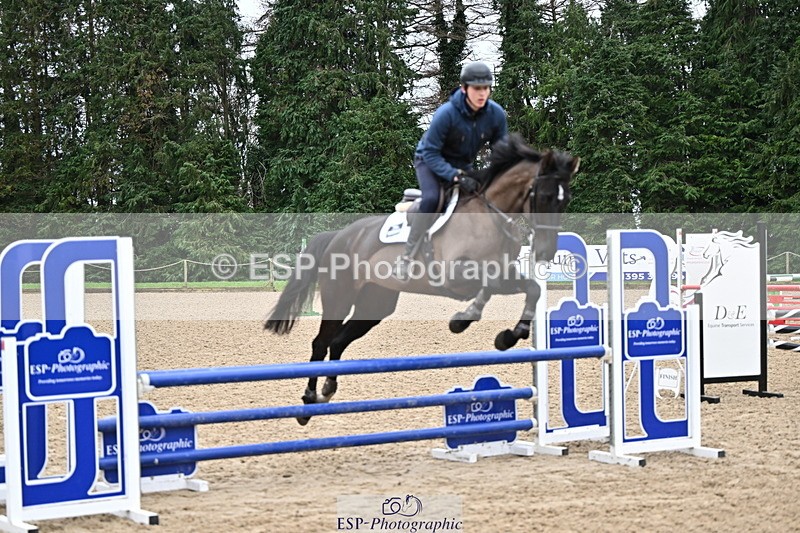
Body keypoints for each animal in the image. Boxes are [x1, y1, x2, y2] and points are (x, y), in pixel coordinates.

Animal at [265, 133, 580, 424]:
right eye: (545, 197)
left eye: (566, 200)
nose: (546, 252)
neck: (489, 215)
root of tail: (339, 236)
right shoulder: (457, 276)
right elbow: (489, 284)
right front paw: (463, 320)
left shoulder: (505, 271)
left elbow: (532, 288)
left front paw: (509, 335)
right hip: (339, 298)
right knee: (321, 343)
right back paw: (308, 401)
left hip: (374, 305)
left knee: (338, 342)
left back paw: (328, 389)